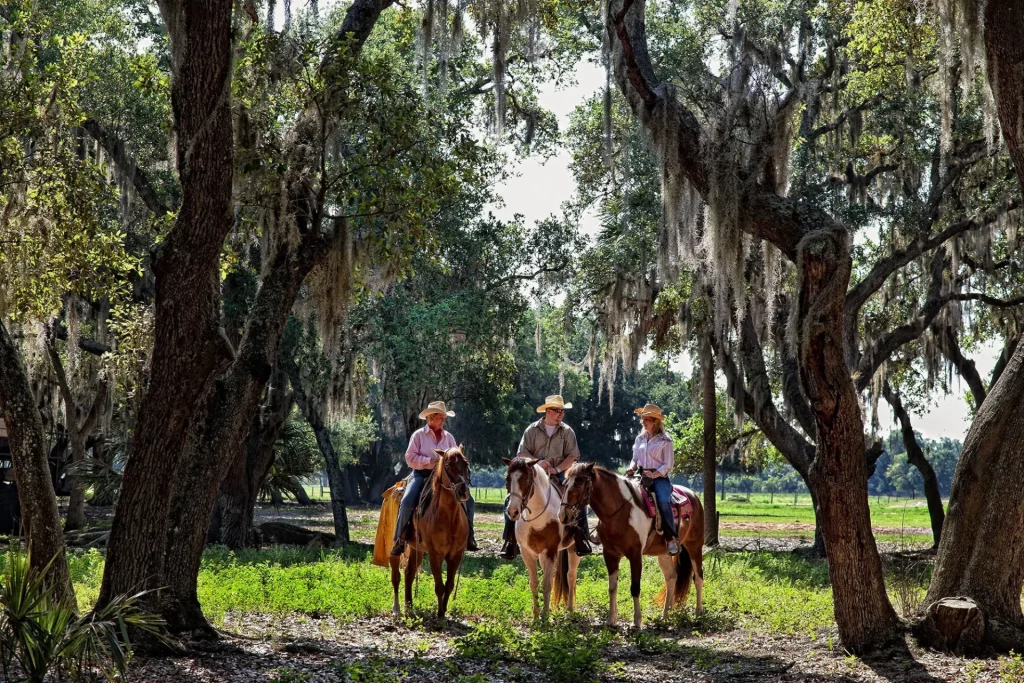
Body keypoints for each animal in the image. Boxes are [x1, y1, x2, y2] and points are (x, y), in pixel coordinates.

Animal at [391, 446, 471, 622]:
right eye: (447, 465)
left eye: (466, 463)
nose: (463, 491)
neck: (449, 518)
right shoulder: (435, 554)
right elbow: (439, 586)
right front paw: (440, 616)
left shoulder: (456, 554)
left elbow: (449, 585)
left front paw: (444, 611)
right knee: (397, 575)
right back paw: (397, 609)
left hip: (417, 549)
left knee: (409, 573)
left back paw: (409, 607)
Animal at [501, 458, 581, 618]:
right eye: (507, 478)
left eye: (526, 478)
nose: (513, 511)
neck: (537, 519)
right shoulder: (527, 552)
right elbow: (534, 583)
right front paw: (537, 614)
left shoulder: (551, 551)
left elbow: (547, 584)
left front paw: (544, 615)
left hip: (572, 549)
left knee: (571, 576)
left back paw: (569, 609)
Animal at [561, 462, 704, 626]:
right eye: (564, 484)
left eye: (579, 483)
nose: (563, 515)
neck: (620, 511)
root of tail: (693, 495)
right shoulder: (610, 554)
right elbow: (612, 587)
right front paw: (611, 620)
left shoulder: (635, 555)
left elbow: (635, 587)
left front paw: (637, 621)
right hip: (664, 553)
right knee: (671, 578)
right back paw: (665, 616)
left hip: (695, 546)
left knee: (698, 578)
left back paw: (698, 613)